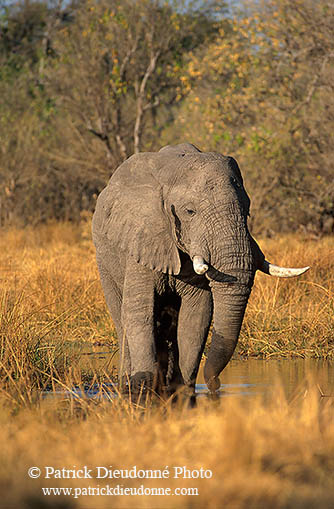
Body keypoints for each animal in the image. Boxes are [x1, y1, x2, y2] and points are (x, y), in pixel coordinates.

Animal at [91, 143, 308, 400]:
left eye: (247, 211)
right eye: (190, 212)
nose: (215, 384)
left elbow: (197, 316)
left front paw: (183, 391)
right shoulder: (142, 237)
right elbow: (139, 311)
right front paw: (141, 390)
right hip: (105, 260)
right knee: (121, 316)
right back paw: (127, 385)